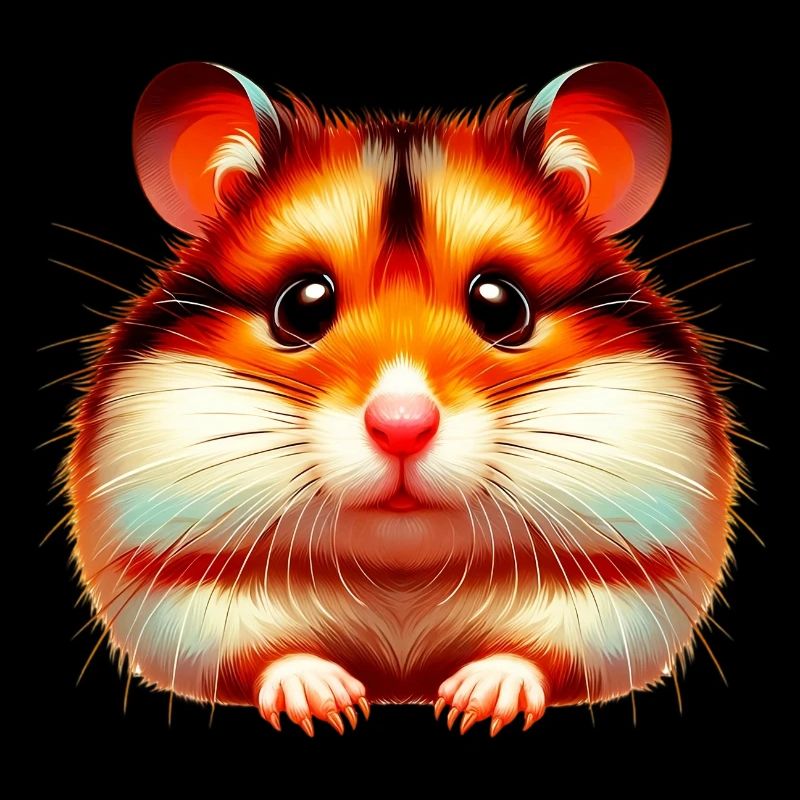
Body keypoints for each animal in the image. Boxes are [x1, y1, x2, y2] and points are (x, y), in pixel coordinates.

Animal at [64, 61, 737, 737]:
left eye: (503, 305)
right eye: (301, 305)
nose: (402, 428)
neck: (401, 579)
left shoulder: (635, 592)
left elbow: (539, 656)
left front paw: (472, 705)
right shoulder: (169, 591)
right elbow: (265, 656)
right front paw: (330, 705)